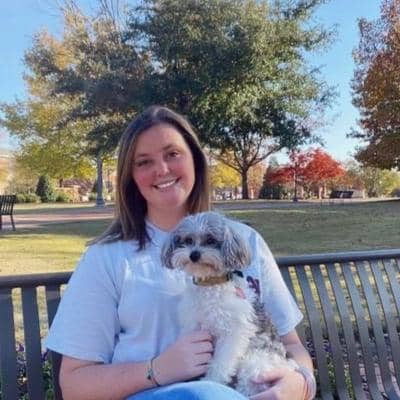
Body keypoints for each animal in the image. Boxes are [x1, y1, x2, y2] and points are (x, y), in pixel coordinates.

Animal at [161, 211, 298, 396]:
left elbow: (221, 363)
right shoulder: (194, 327)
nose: (194, 254)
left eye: (211, 240)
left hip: (255, 363)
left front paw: (211, 381)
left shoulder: (233, 333)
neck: (210, 285)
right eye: (188, 240)